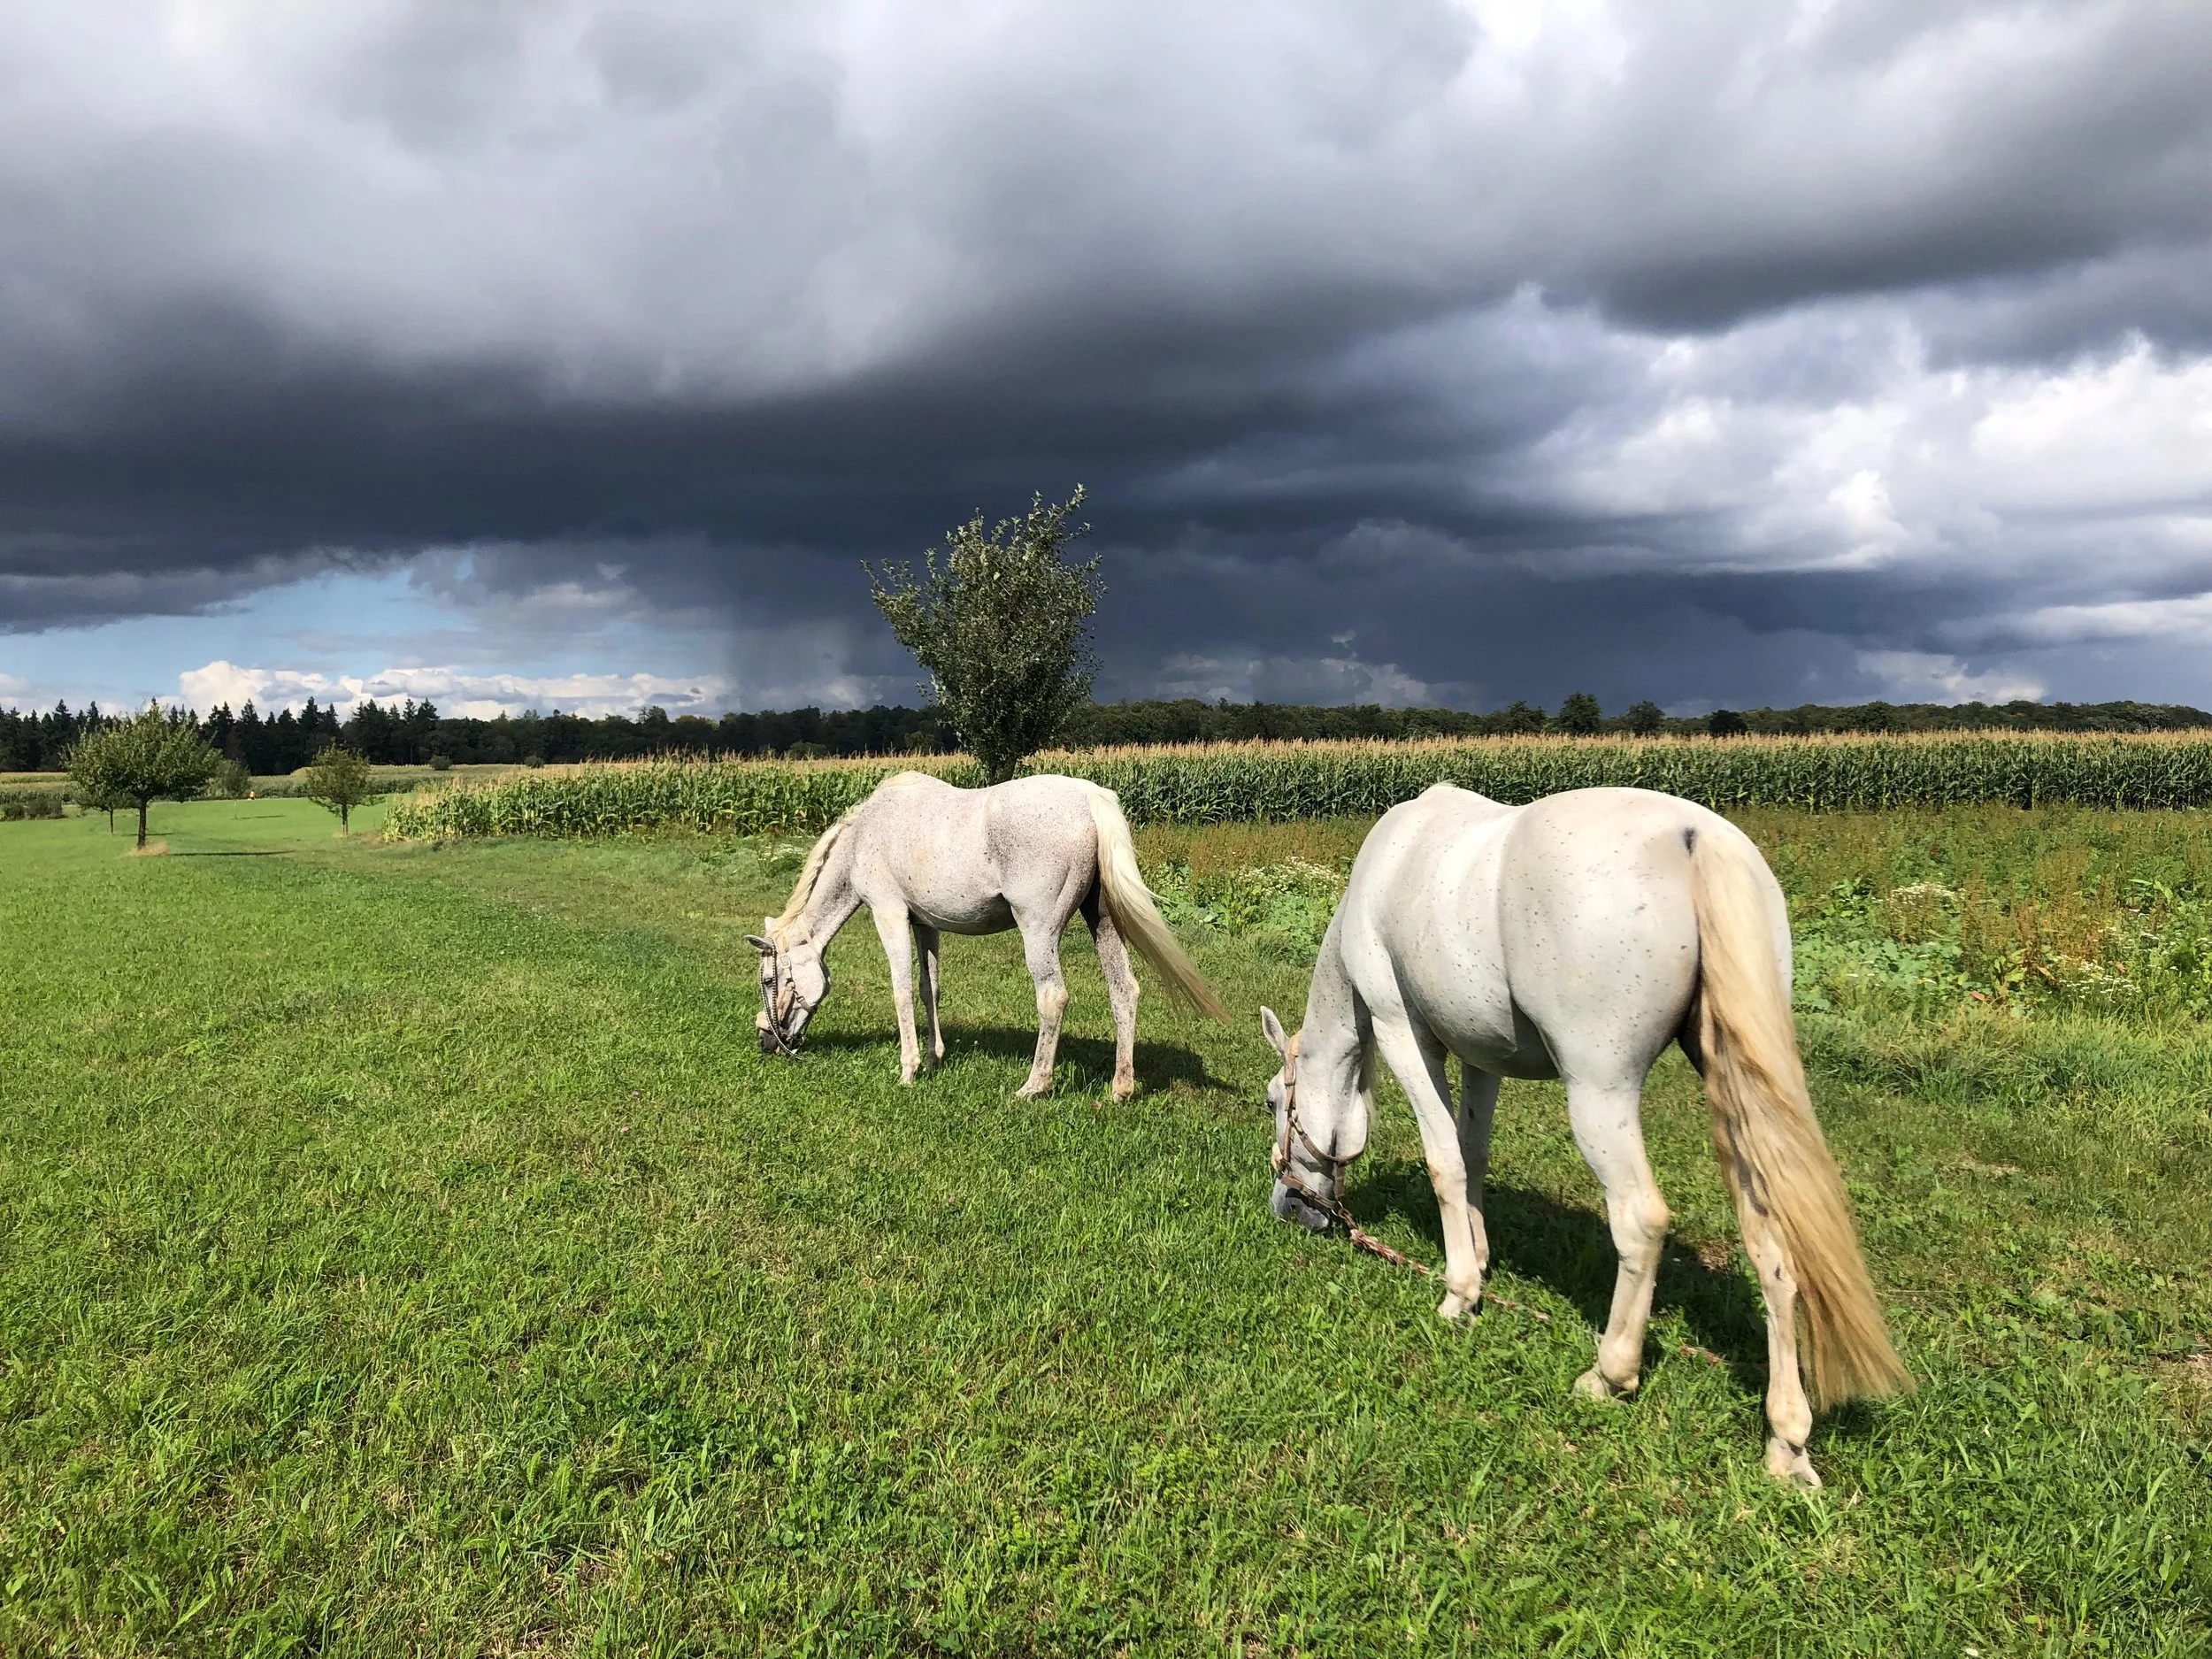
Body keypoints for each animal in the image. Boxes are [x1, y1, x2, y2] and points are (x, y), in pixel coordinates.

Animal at [749, 772, 1225, 1097]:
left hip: (1039, 931)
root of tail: (1089, 798)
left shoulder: (890, 915)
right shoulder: (925, 925)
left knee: (1052, 997)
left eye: (772, 979)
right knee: (1123, 990)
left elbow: (902, 990)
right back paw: (1120, 1088)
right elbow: (930, 989)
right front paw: (936, 1057)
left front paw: (909, 1069)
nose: (767, 1041)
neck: (866, 836)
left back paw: (1035, 1085)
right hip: (1102, 919)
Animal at [1259, 782, 1908, 1485]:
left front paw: (1460, 1293)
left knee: (1641, 1218)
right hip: (1732, 1081)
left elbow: (1445, 1161)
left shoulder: (1405, 1032)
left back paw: (1609, 1373)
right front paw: (1480, 1257)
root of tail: (1696, 839)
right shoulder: (1483, 1054)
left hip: (1600, 1089)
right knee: (1771, 1244)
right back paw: (1786, 1440)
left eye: (1273, 1101)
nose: (1288, 1206)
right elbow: (1474, 1151)